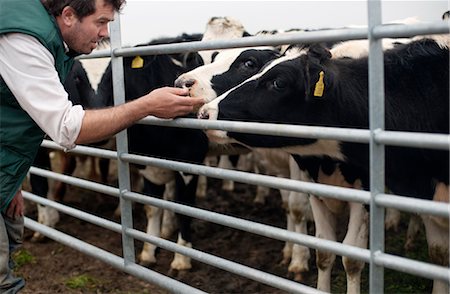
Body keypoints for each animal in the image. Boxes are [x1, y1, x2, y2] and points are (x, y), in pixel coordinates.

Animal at [201, 35, 450, 292]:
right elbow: (324, 249)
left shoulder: (366, 191)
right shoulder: (314, 185)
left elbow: (351, 257)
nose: (205, 112)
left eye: (278, 82)